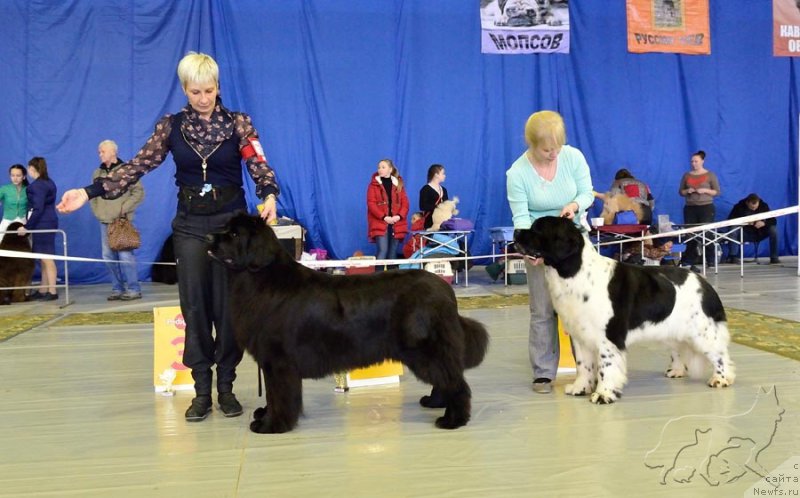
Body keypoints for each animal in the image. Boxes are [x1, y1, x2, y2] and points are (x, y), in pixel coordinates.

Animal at [206, 213, 490, 432]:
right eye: (225, 229)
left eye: (233, 235)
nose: (208, 238)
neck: (260, 277)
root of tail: (445, 290)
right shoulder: (271, 361)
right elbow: (274, 394)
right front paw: (266, 416)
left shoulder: (278, 360)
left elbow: (279, 395)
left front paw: (272, 425)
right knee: (446, 378)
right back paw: (434, 402)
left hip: (425, 350)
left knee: (457, 383)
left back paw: (453, 419)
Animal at [516, 218, 736, 404]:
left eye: (538, 229)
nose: (516, 231)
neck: (575, 271)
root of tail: (705, 283)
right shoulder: (580, 335)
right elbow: (583, 365)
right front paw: (580, 388)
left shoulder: (608, 337)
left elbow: (605, 367)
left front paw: (603, 394)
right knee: (679, 349)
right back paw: (676, 371)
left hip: (702, 331)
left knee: (719, 354)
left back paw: (721, 379)